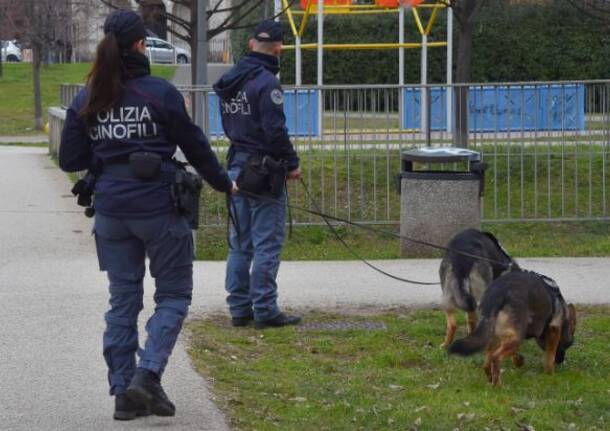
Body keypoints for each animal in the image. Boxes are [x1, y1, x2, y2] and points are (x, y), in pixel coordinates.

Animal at [446, 272, 576, 386]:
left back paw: (491, 379)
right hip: (515, 338)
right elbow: (550, 355)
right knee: (496, 358)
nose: (560, 361)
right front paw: (550, 373)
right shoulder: (554, 330)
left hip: (494, 336)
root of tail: (498, 292)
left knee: (487, 362)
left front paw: (519, 361)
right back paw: (499, 386)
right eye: (568, 344)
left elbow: (516, 353)